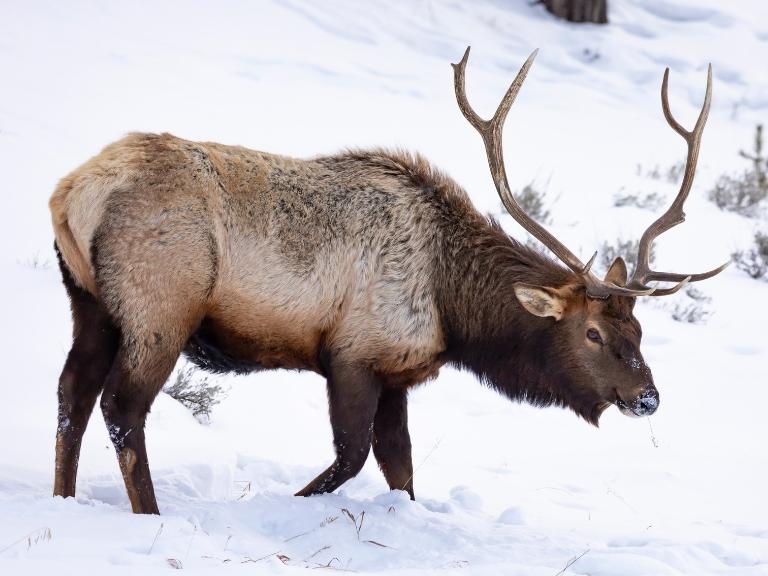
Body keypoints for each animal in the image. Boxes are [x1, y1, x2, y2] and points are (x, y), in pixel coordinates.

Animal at [49, 48, 728, 512]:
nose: (648, 397)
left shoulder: (398, 373)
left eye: (638, 330)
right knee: (121, 406)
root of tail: (72, 193)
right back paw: (150, 513)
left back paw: (64, 498)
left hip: (92, 303)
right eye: (591, 333)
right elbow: (351, 459)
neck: (454, 308)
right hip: (161, 306)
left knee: (72, 394)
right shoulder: (353, 354)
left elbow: (401, 472)